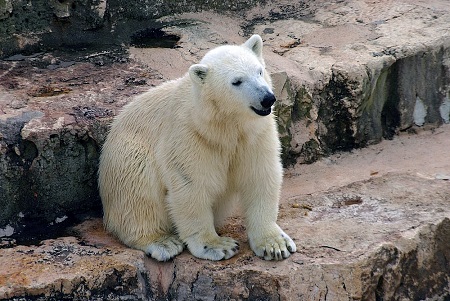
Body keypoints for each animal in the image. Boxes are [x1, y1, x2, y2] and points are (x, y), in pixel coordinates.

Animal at [98, 34, 296, 260]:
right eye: (237, 81)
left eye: (259, 71)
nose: (267, 98)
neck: (224, 126)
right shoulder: (190, 136)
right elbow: (192, 186)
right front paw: (218, 245)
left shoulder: (255, 135)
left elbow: (260, 176)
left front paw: (275, 244)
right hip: (126, 155)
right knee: (138, 189)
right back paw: (163, 241)